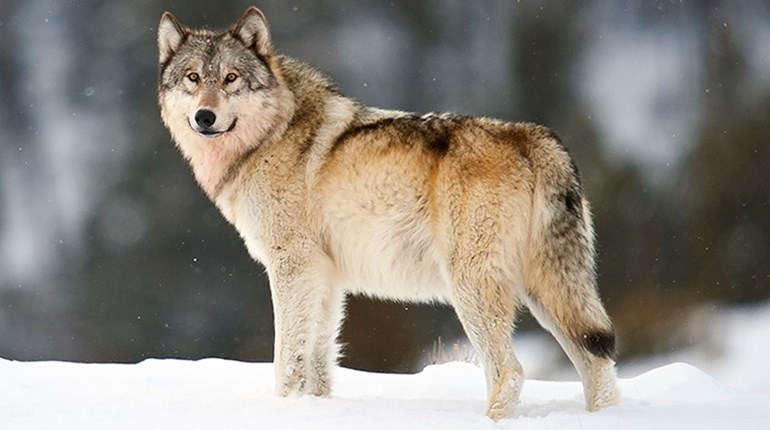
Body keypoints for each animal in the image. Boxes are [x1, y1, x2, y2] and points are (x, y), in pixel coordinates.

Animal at [157, 6, 620, 420]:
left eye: (231, 78)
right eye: (193, 78)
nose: (205, 117)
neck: (271, 135)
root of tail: (532, 136)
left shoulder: (292, 267)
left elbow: (286, 359)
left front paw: (283, 409)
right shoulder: (326, 277)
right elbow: (318, 363)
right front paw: (313, 409)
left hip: (473, 290)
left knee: (510, 371)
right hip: (546, 293)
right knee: (597, 362)